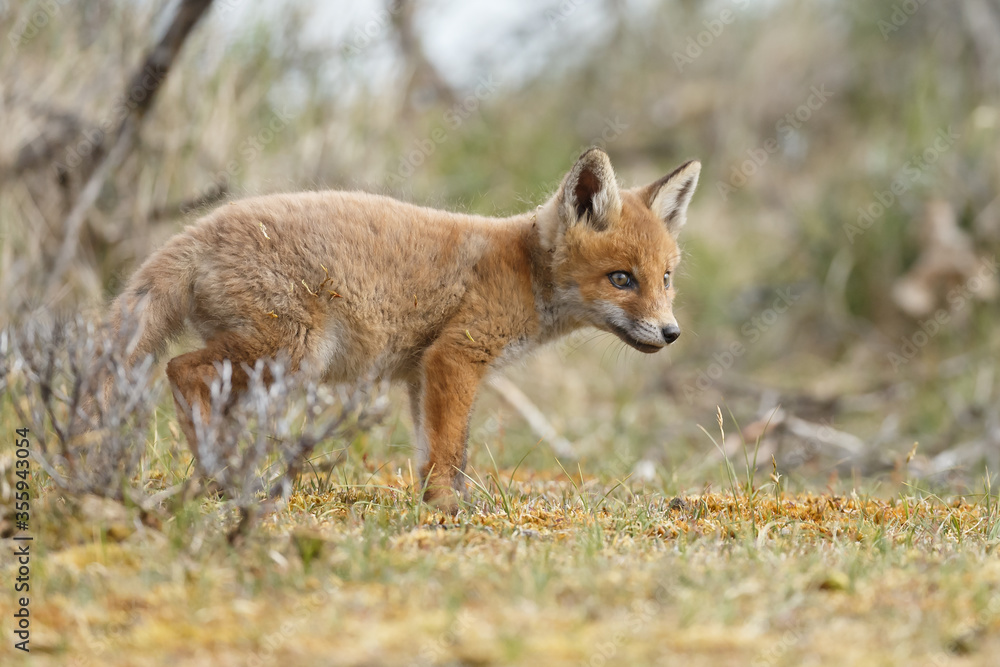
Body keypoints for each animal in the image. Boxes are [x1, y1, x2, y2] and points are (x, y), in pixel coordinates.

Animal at [113, 147, 700, 512]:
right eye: (622, 279)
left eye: (666, 278)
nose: (671, 333)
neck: (522, 269)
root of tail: (197, 230)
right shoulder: (456, 357)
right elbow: (448, 451)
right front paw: (446, 509)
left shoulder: (422, 373)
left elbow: (432, 451)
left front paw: (436, 504)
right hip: (288, 355)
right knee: (179, 368)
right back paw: (220, 474)